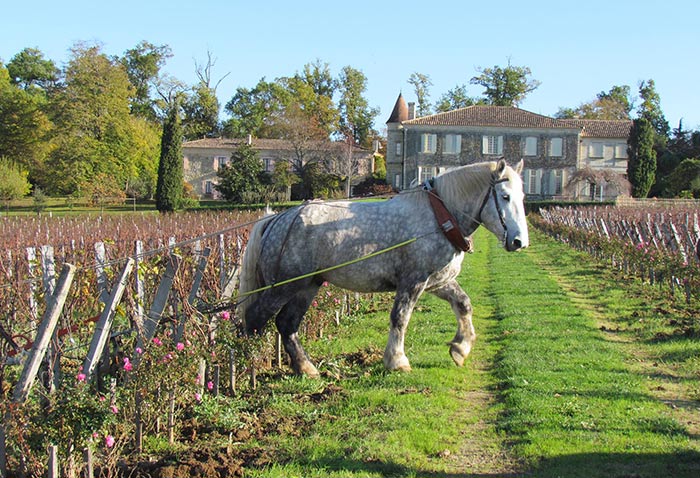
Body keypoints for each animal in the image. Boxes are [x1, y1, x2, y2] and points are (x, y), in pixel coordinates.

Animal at [236, 159, 528, 377]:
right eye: (504, 196)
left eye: (523, 196)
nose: (519, 242)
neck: (439, 216)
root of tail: (278, 219)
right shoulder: (412, 281)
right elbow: (400, 318)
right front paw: (397, 361)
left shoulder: (437, 281)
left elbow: (463, 304)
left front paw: (460, 348)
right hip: (284, 287)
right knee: (253, 320)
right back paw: (246, 370)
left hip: (307, 286)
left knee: (286, 324)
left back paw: (306, 368)